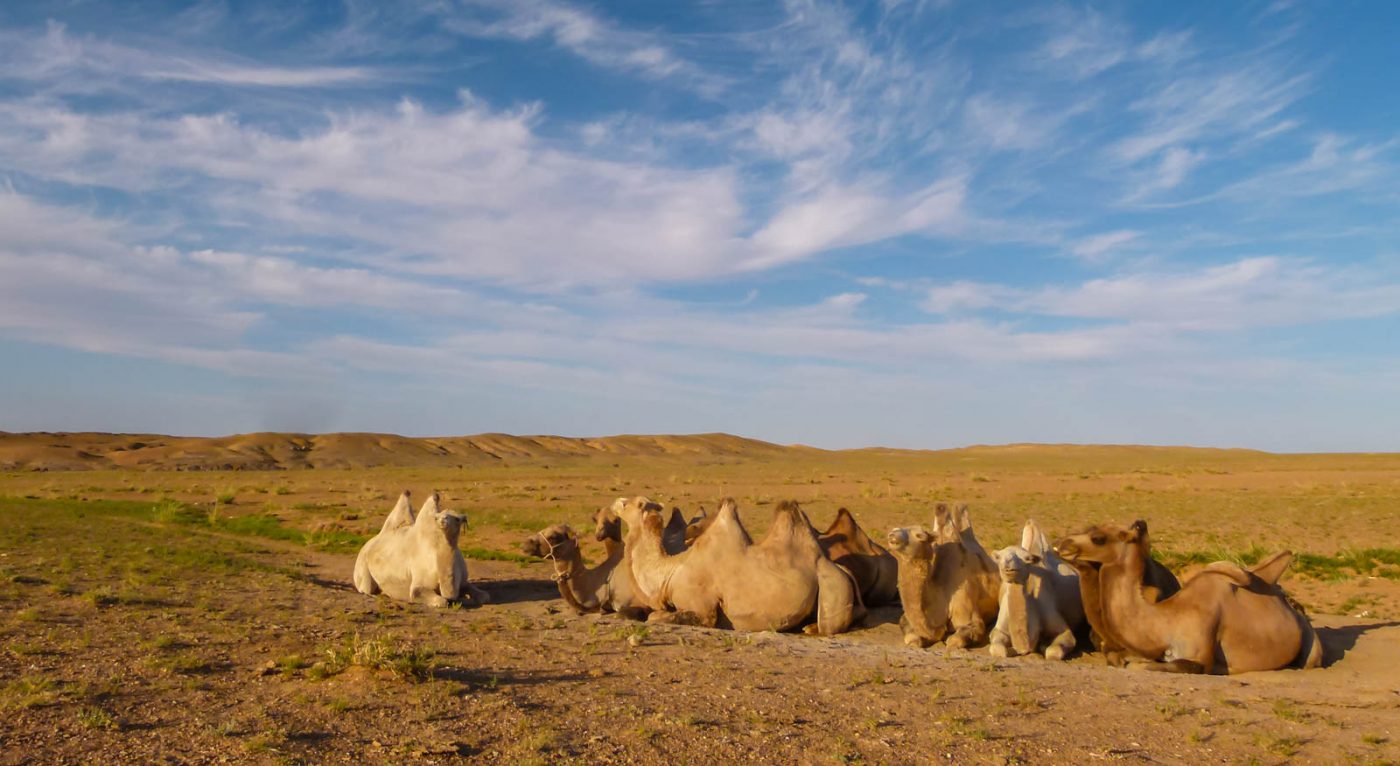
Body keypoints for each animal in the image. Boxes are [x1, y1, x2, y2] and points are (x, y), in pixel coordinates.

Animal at [355, 495, 492, 607]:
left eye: (457, 519)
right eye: (436, 518)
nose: (443, 521)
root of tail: (369, 542)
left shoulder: (463, 582)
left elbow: (484, 596)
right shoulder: (419, 585)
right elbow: (441, 601)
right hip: (362, 567)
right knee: (365, 589)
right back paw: (379, 594)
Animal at [621, 498, 862, 635]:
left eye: (632, 503)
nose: (617, 502)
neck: (672, 569)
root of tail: (840, 569)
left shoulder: (703, 608)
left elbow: (656, 617)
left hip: (833, 586)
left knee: (830, 626)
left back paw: (811, 629)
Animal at [1052, 520, 1327, 677]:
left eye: (1098, 538)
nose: (1061, 543)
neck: (1164, 618)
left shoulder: (1200, 654)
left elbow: (1164, 665)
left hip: (1311, 647)